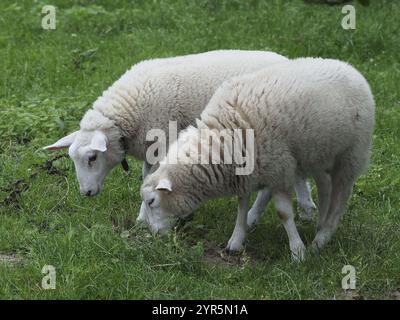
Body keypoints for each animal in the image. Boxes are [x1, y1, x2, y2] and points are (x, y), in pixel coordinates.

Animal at [41, 50, 316, 224]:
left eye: (92, 157)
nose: (86, 193)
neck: (127, 114)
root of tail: (286, 60)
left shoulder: (161, 143)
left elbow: (154, 179)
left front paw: (145, 217)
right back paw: (307, 208)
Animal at [141, 57, 376, 262]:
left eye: (152, 201)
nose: (152, 234)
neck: (222, 139)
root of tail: (350, 68)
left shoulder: (279, 168)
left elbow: (283, 213)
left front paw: (297, 252)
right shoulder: (246, 170)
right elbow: (241, 204)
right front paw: (236, 240)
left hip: (351, 155)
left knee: (341, 196)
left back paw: (321, 239)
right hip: (318, 154)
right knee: (325, 184)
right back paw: (320, 224)